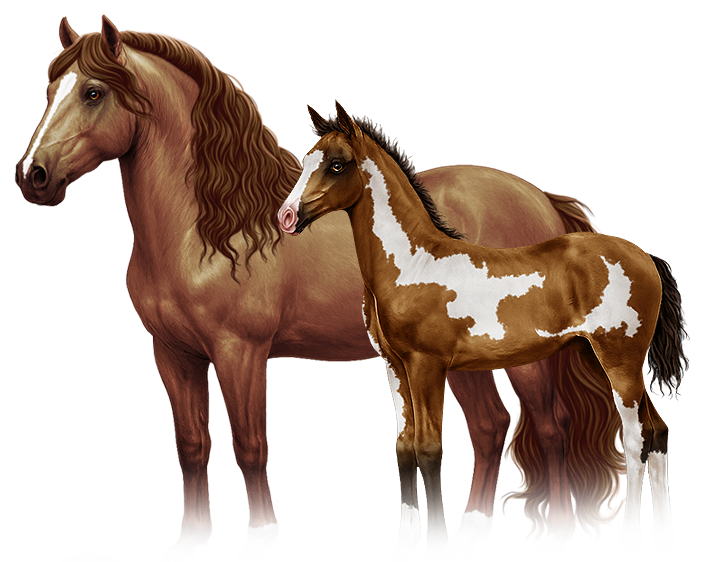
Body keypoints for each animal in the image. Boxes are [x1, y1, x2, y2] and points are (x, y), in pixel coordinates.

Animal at [16, 15, 627, 562]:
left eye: (93, 92)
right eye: (49, 88)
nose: (33, 176)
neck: (210, 230)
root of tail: (541, 199)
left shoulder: (239, 350)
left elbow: (250, 443)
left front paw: (257, 538)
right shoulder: (173, 352)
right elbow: (190, 445)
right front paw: (186, 543)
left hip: (523, 358)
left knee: (550, 427)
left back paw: (554, 537)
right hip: (463, 358)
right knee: (489, 424)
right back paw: (463, 537)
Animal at [277, 101, 688, 561]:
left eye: (336, 164)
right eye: (307, 160)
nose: (287, 217)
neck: (413, 263)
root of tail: (645, 258)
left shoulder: (427, 367)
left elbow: (429, 448)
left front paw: (436, 543)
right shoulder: (396, 368)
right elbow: (403, 449)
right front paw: (404, 547)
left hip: (619, 360)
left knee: (633, 438)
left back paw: (630, 542)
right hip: (605, 360)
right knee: (657, 431)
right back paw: (663, 542)